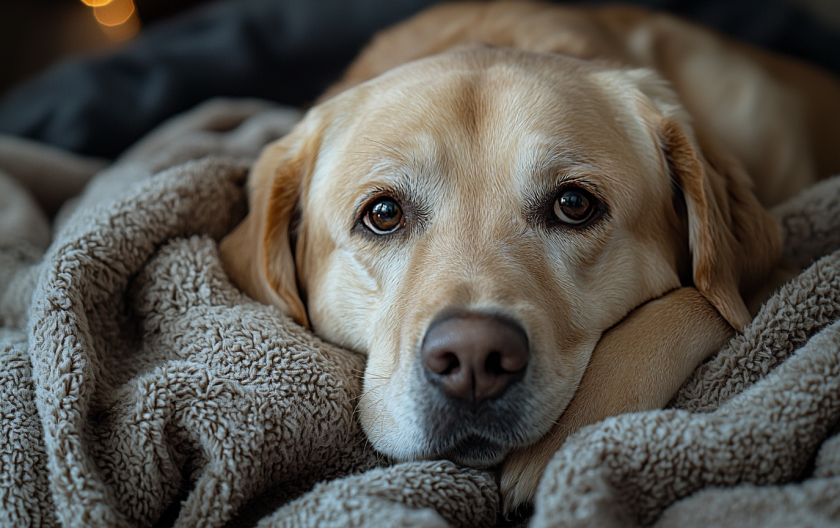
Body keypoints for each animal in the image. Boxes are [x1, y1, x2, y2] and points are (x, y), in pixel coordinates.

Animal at [217, 0, 840, 512]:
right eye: (383, 213)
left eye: (573, 204)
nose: (473, 359)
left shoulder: (781, 270)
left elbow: (693, 306)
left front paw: (563, 445)